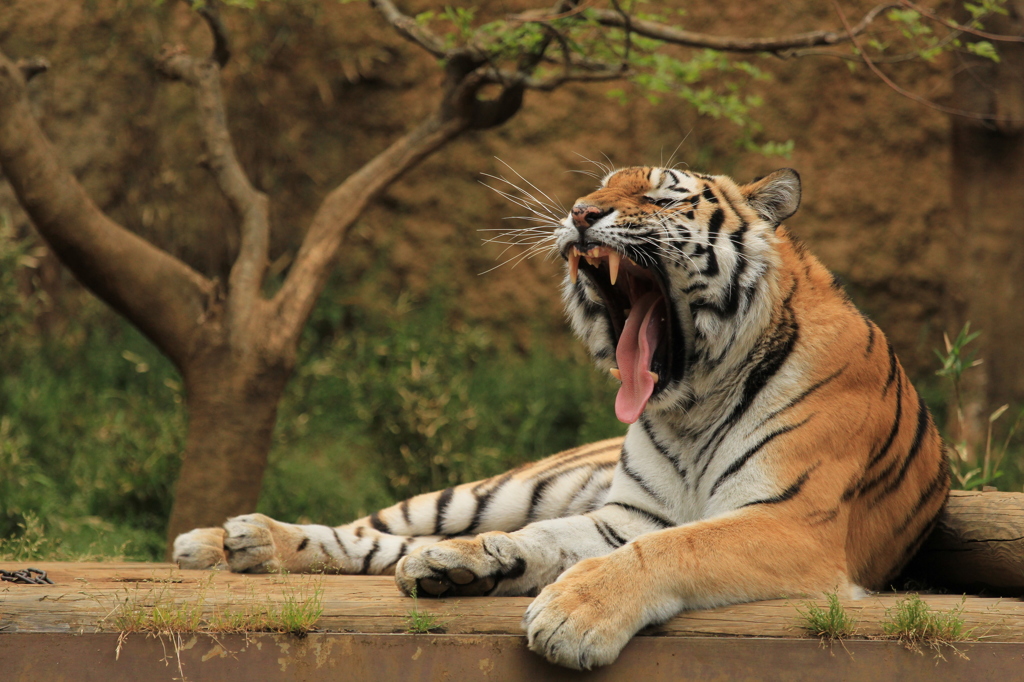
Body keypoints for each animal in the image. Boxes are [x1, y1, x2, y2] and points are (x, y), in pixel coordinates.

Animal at [172, 165, 946, 667]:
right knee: (375, 531)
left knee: (389, 546)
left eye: (660, 193)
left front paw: (572, 615)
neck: (694, 400)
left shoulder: (793, 521)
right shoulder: (628, 516)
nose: (579, 212)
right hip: (491, 490)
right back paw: (234, 539)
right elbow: (559, 538)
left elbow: (678, 548)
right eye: (599, 186)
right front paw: (499, 565)